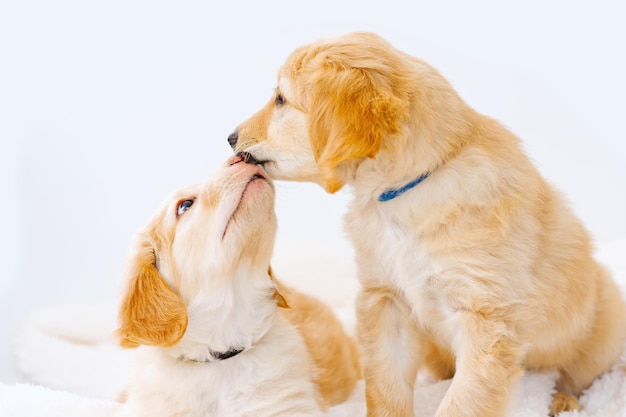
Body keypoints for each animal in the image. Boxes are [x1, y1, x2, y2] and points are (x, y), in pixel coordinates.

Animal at [228, 31, 624, 416]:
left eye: (281, 100)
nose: (230, 137)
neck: (405, 193)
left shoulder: (485, 320)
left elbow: (463, 404)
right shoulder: (386, 302)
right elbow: (386, 389)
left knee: (579, 374)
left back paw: (564, 401)